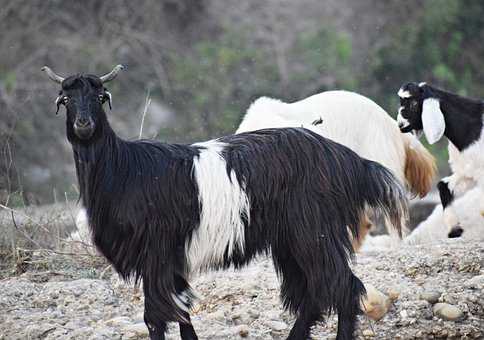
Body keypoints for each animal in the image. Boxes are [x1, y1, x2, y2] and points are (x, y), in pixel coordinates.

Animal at [43, 65, 408, 338]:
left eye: (99, 97)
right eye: (67, 99)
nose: (84, 124)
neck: (126, 169)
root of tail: (348, 160)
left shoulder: (156, 252)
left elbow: (156, 315)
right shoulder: (171, 258)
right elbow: (181, 308)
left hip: (314, 232)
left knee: (342, 287)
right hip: (291, 241)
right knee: (314, 294)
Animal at [398, 81, 484, 238]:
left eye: (414, 103)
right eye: (401, 101)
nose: (400, 125)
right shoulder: (468, 171)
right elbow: (443, 185)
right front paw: (454, 229)